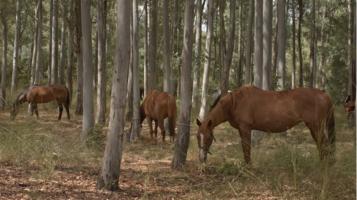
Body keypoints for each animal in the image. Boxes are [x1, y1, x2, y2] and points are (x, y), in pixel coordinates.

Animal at [196, 86, 336, 164]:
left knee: (324, 146)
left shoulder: (245, 128)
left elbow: (246, 149)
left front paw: (248, 167)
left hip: (316, 126)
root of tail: (324, 94)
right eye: (198, 137)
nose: (201, 158)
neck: (234, 103)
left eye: (208, 137)